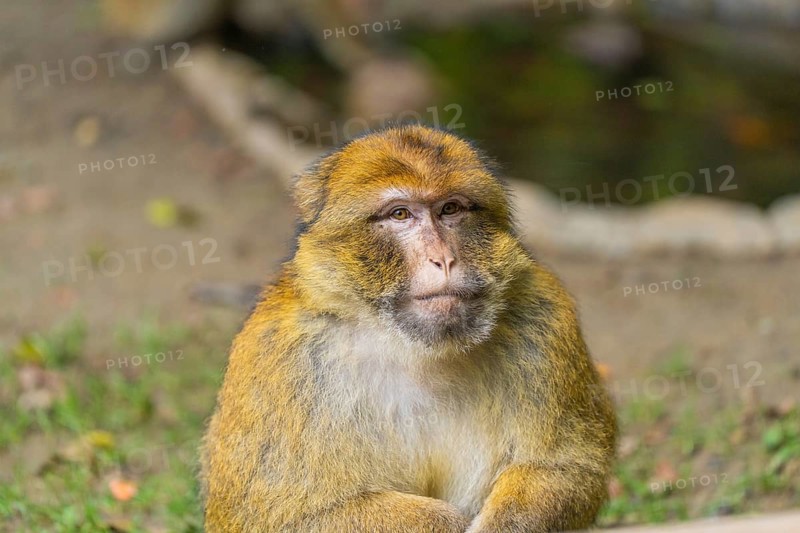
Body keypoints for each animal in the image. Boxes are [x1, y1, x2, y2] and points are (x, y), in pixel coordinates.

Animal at [199, 124, 616, 532]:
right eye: (401, 214)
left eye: (450, 209)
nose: (444, 259)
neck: (414, 346)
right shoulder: (279, 353)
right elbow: (269, 514)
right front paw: (441, 522)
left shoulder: (543, 317)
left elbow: (568, 468)